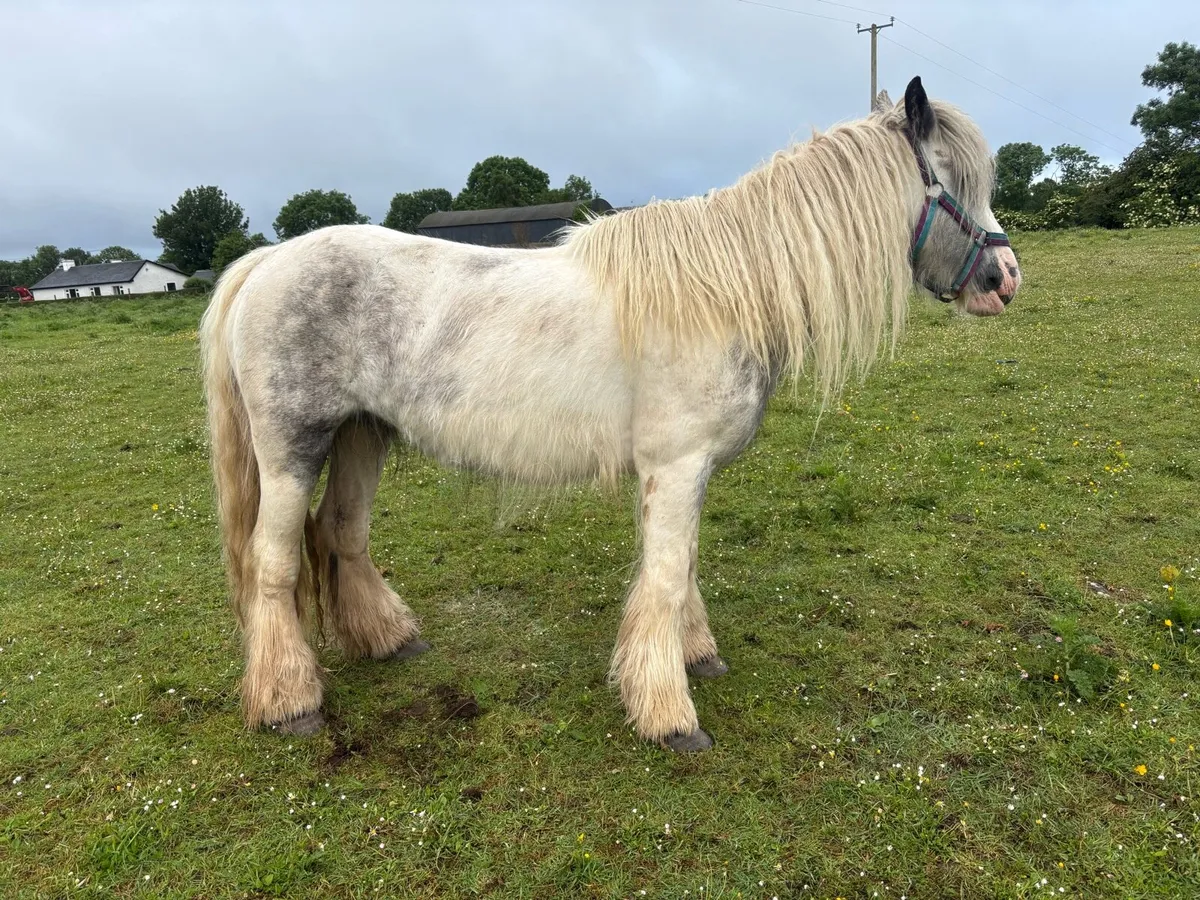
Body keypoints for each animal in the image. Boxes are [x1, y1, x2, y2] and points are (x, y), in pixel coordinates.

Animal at [199, 76, 1021, 752]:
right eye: (953, 181)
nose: (1005, 278)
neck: (729, 288)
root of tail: (267, 262)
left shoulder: (683, 472)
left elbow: (678, 568)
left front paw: (694, 656)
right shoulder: (677, 467)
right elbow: (664, 577)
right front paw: (669, 714)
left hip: (361, 436)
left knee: (342, 534)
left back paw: (388, 639)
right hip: (294, 448)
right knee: (272, 562)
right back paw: (290, 701)